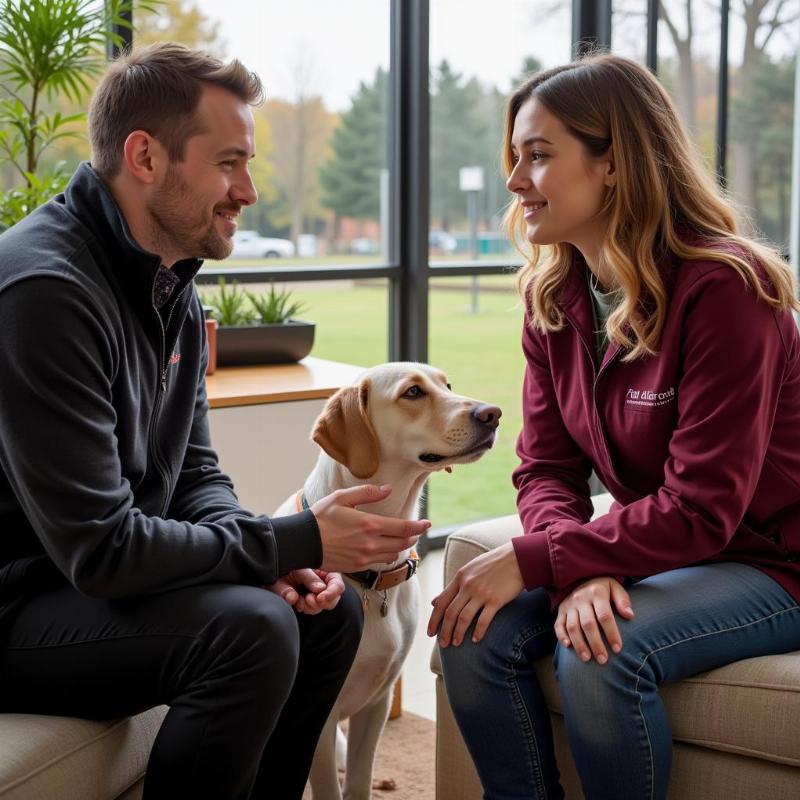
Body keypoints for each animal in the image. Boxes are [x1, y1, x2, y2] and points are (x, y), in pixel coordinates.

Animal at [276, 362, 500, 800]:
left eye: (448, 385)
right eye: (412, 393)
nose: (493, 413)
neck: (373, 573)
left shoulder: (376, 704)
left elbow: (359, 782)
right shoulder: (322, 719)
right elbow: (330, 789)